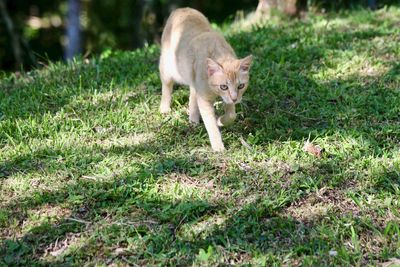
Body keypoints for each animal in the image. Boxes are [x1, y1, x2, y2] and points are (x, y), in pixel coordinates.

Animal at [158, 7, 252, 152]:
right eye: (224, 86)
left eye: (241, 86)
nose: (235, 98)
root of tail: (182, 8)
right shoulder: (204, 99)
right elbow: (211, 124)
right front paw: (218, 145)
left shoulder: (227, 99)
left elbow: (231, 115)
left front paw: (221, 121)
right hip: (168, 69)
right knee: (167, 87)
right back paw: (164, 108)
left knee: (192, 94)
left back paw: (193, 118)